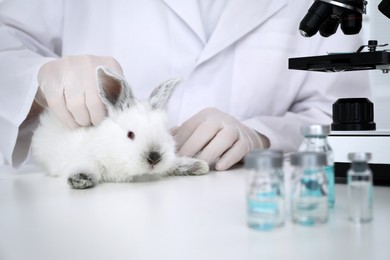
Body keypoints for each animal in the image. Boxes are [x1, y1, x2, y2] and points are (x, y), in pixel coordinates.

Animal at [31, 67, 209, 189]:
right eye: (130, 134)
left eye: (165, 133)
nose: (154, 157)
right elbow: (87, 165)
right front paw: (80, 179)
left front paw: (198, 166)